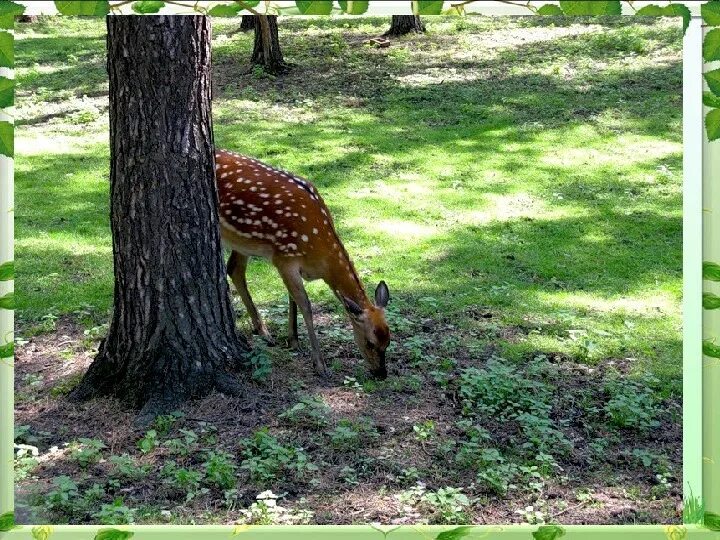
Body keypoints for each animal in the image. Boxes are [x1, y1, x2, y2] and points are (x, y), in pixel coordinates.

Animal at [215, 148, 390, 380]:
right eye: (370, 343)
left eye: (388, 341)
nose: (382, 373)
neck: (320, 259)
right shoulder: (284, 257)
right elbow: (305, 304)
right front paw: (319, 364)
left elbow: (292, 298)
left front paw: (294, 340)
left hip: (242, 241)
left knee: (234, 269)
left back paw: (262, 330)